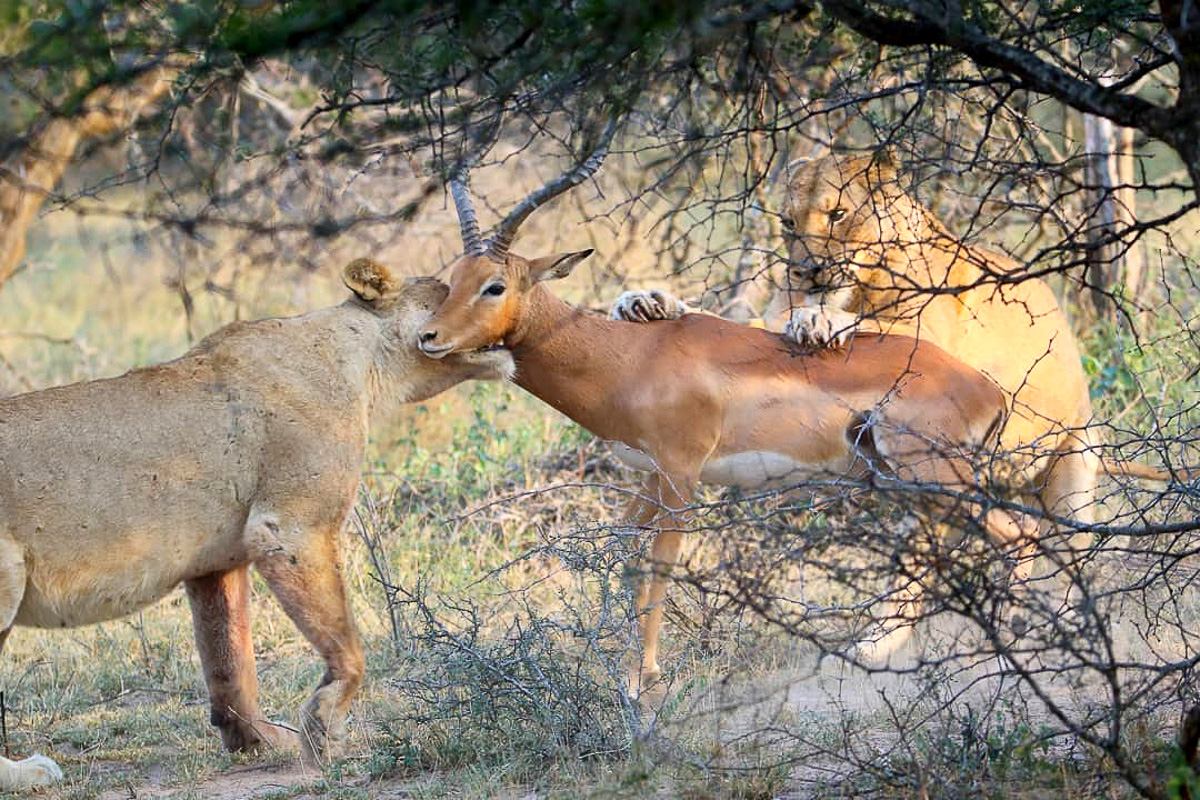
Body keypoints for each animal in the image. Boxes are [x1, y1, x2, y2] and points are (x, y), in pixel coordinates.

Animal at [0, 259, 513, 790]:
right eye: (457, 292)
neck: (360, 359)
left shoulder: (216, 564)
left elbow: (231, 664)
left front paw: (258, 741)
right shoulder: (288, 525)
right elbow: (348, 649)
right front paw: (322, 730)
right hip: (7, 579)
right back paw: (29, 772)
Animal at [417, 153, 1033, 686]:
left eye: (495, 285)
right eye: (451, 278)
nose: (428, 337)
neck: (628, 356)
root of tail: (987, 388)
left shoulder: (681, 476)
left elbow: (659, 569)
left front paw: (643, 683)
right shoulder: (648, 476)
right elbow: (625, 558)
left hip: (933, 473)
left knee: (1019, 532)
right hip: (908, 481)